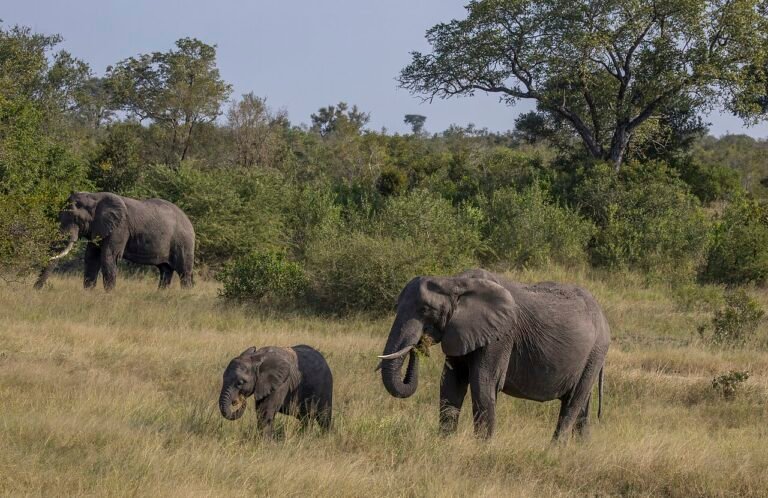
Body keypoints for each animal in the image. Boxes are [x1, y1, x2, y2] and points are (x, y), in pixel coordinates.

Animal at [34, 191, 195, 291]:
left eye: (75, 218)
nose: (36, 290)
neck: (94, 197)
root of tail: (189, 221)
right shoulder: (98, 227)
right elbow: (91, 257)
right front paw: (88, 293)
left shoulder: (119, 227)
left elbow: (108, 256)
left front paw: (108, 295)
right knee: (165, 271)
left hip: (183, 242)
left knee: (184, 272)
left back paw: (185, 295)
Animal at [378, 269, 610, 441]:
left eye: (426, 310)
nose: (419, 344)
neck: (454, 282)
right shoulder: (461, 331)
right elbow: (451, 383)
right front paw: (444, 443)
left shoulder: (500, 336)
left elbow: (483, 384)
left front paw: (482, 448)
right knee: (582, 407)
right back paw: (581, 448)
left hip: (595, 352)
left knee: (572, 402)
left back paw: (554, 450)